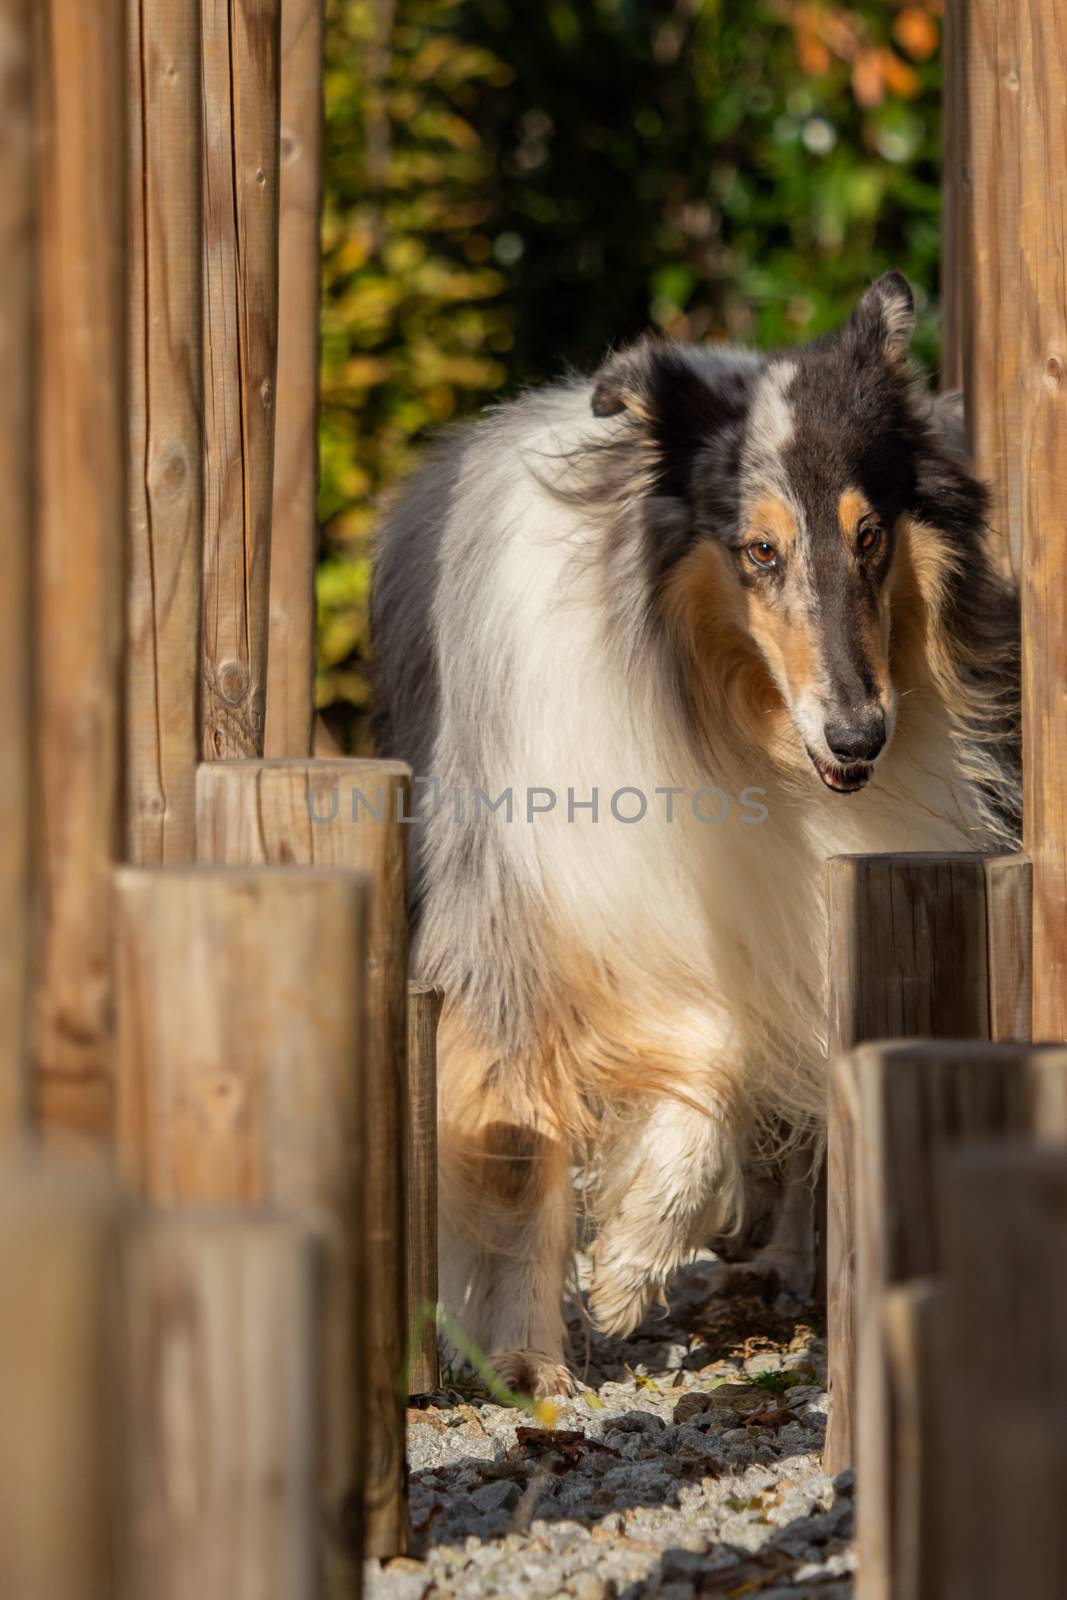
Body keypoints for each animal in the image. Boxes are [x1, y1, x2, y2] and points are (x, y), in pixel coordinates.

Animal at [371, 272, 1023, 1388]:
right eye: (756, 549)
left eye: (869, 535)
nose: (860, 735)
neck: (724, 723)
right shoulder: (524, 929)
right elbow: (526, 1144)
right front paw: (530, 1352)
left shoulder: (762, 916)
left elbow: (717, 1050)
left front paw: (633, 1260)